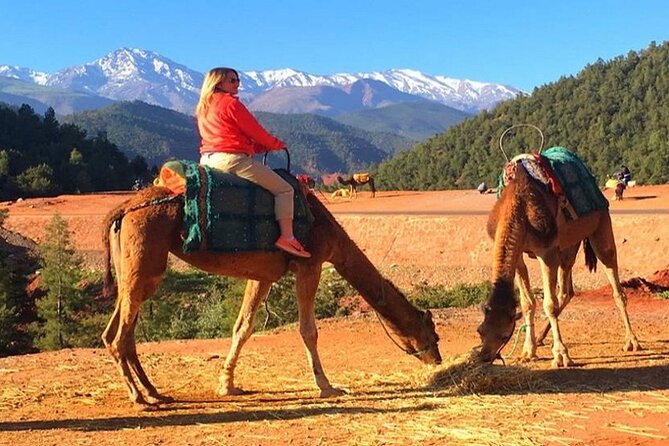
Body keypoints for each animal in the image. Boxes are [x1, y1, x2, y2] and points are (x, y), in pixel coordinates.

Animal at [101, 185, 441, 407]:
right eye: (432, 333)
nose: (436, 359)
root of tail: (122, 210)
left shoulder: (262, 274)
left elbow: (243, 327)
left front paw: (227, 385)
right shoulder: (310, 263)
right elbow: (308, 330)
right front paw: (327, 386)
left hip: (133, 269)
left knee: (117, 332)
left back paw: (155, 392)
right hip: (145, 261)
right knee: (119, 336)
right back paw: (139, 397)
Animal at [477, 159, 641, 367]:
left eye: (506, 335)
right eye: (480, 331)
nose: (485, 356)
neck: (518, 208)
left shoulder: (547, 252)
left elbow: (549, 304)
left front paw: (561, 355)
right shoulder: (521, 254)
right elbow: (527, 303)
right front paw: (528, 351)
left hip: (601, 223)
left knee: (615, 284)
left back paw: (632, 341)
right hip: (568, 245)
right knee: (566, 291)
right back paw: (540, 338)